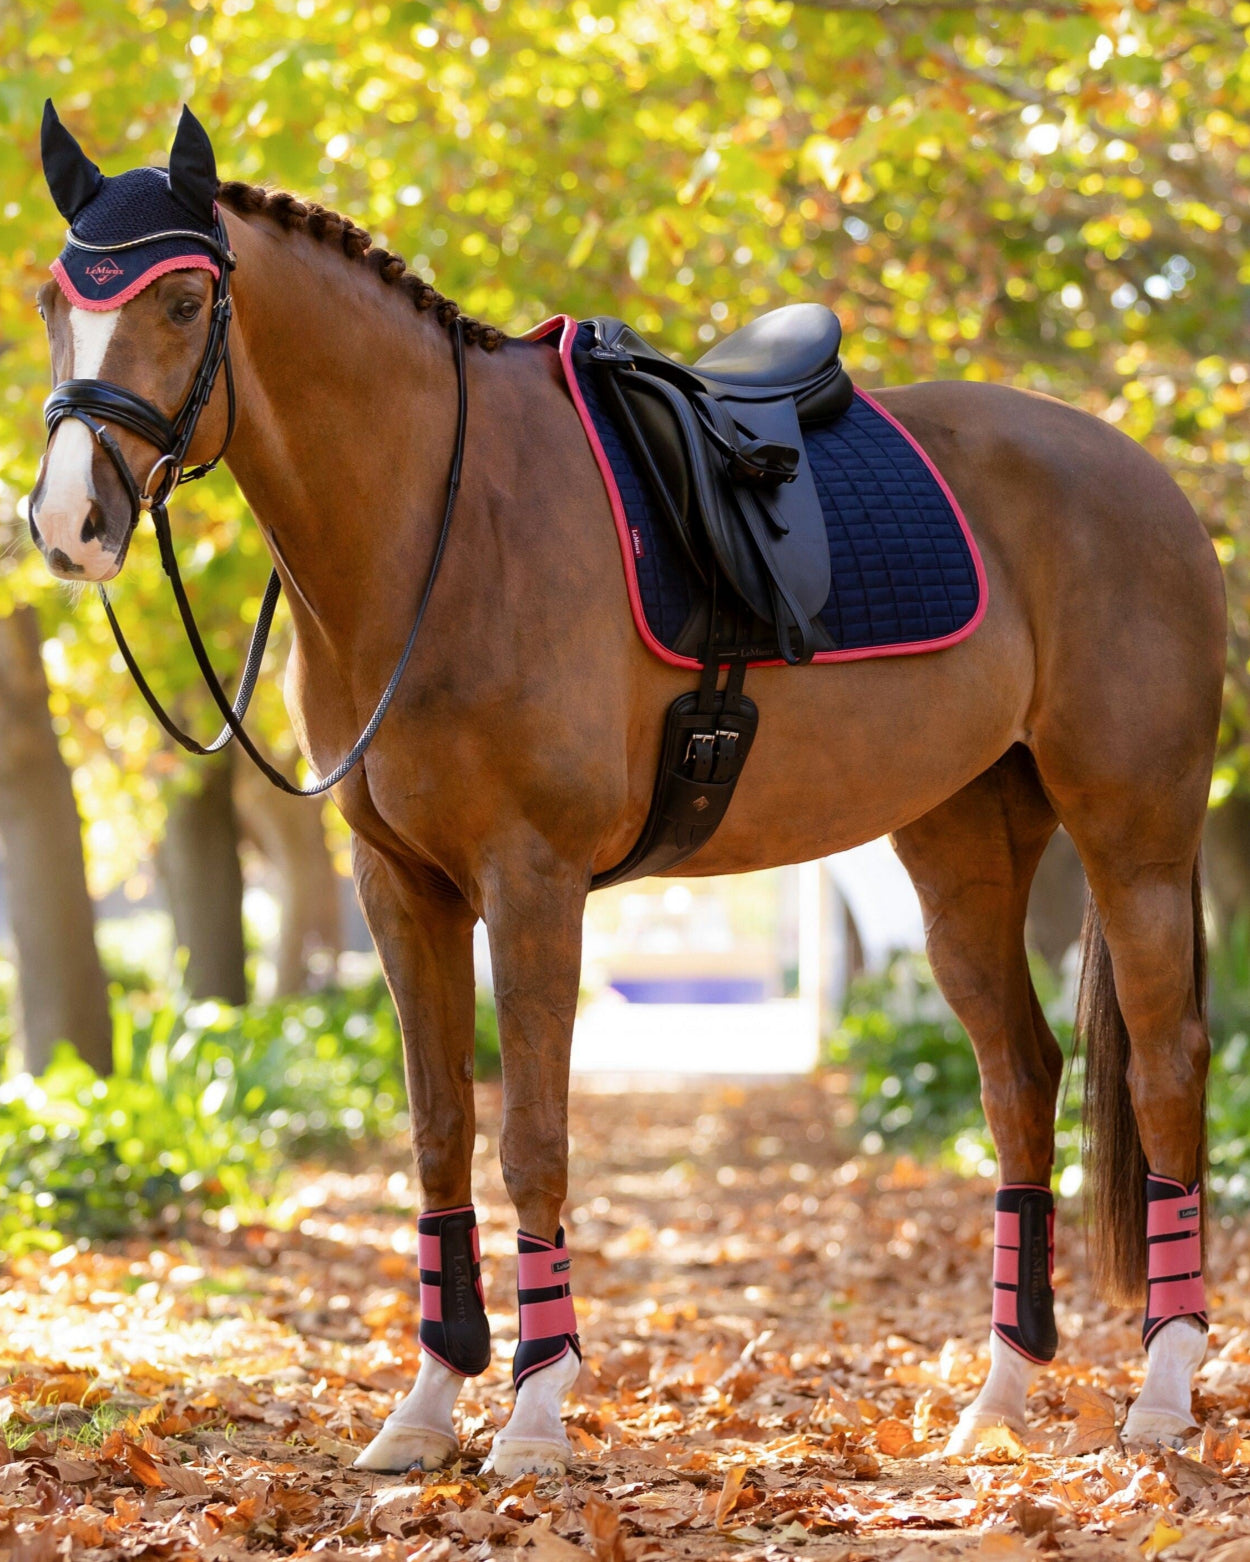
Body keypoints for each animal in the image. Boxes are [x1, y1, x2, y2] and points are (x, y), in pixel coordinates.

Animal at [29, 107, 1226, 1477]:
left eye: (181, 299)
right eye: (55, 299)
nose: (67, 522)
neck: (436, 522)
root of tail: (1142, 475)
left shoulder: (532, 878)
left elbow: (530, 1138)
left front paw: (535, 1410)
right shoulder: (401, 886)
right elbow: (438, 1128)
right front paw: (426, 1402)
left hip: (1131, 836)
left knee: (1166, 1066)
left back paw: (1161, 1387)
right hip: (960, 845)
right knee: (1021, 1076)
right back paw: (996, 1396)